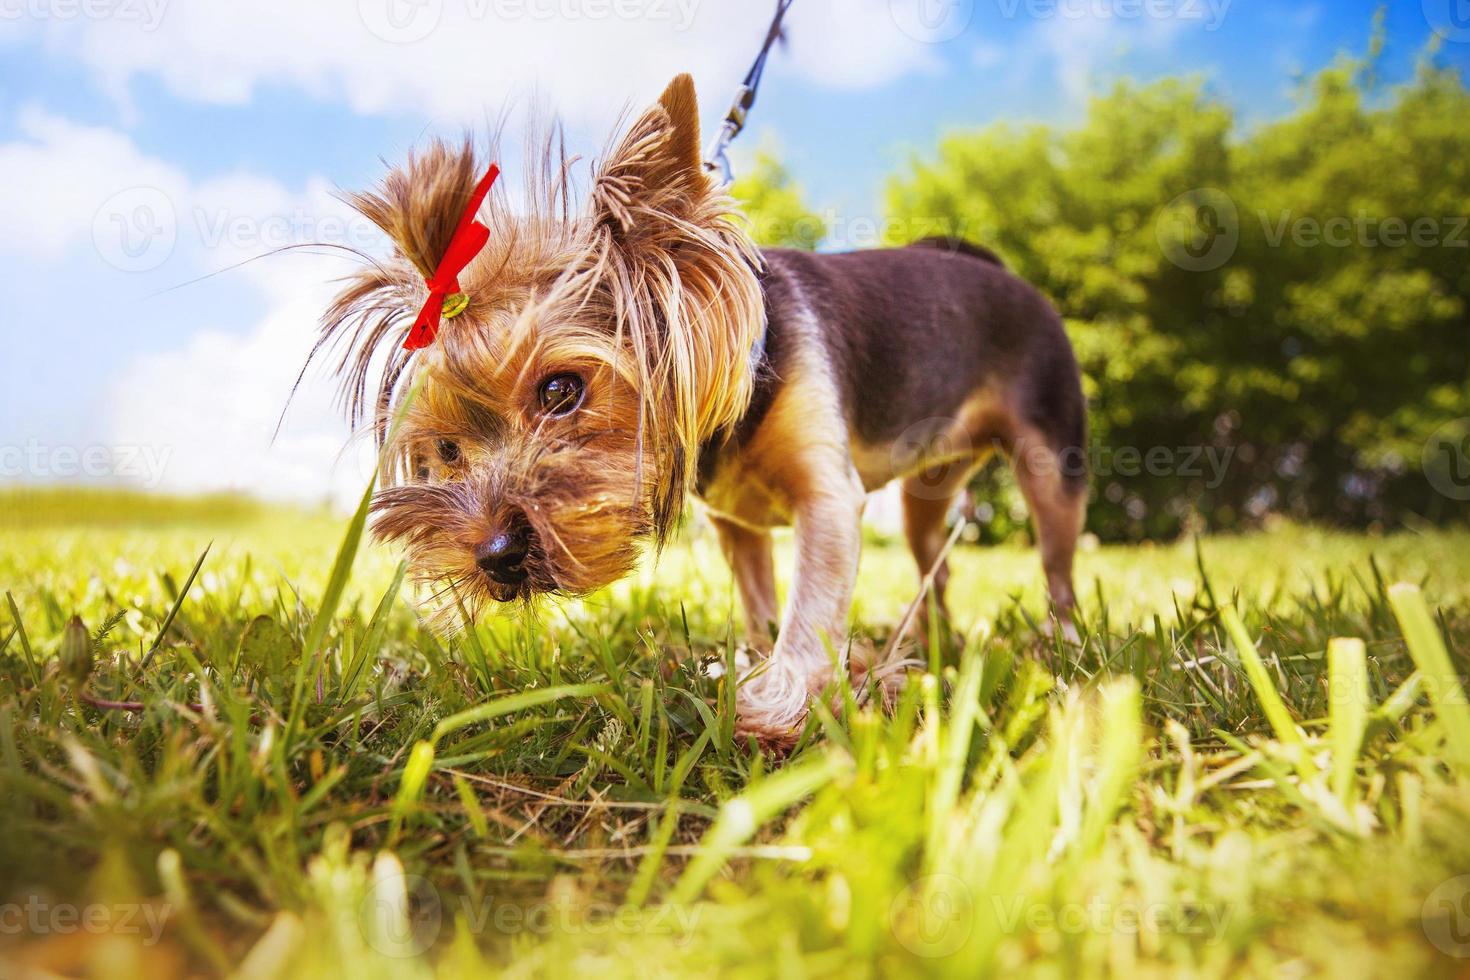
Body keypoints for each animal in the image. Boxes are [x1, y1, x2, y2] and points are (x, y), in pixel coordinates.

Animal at [316, 74, 1087, 743]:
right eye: (446, 450)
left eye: (561, 390)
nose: (495, 555)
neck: (749, 377)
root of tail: (1007, 275)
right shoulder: (737, 528)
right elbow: (761, 602)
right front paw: (758, 667)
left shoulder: (828, 498)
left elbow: (811, 605)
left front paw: (776, 705)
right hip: (929, 492)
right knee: (936, 559)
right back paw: (933, 642)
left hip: (1052, 455)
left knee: (1058, 563)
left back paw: (1066, 649)